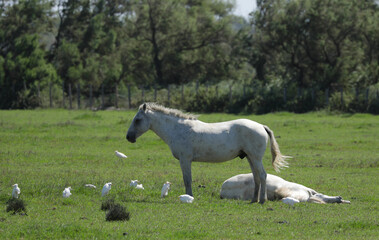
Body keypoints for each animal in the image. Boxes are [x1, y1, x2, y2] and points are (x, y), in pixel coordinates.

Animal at [127, 102, 290, 203]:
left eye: (138, 119)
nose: (129, 137)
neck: (178, 129)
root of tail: (261, 126)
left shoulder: (185, 160)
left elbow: (187, 180)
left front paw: (189, 197)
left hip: (255, 158)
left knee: (262, 175)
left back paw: (262, 200)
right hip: (250, 157)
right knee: (256, 177)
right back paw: (253, 199)